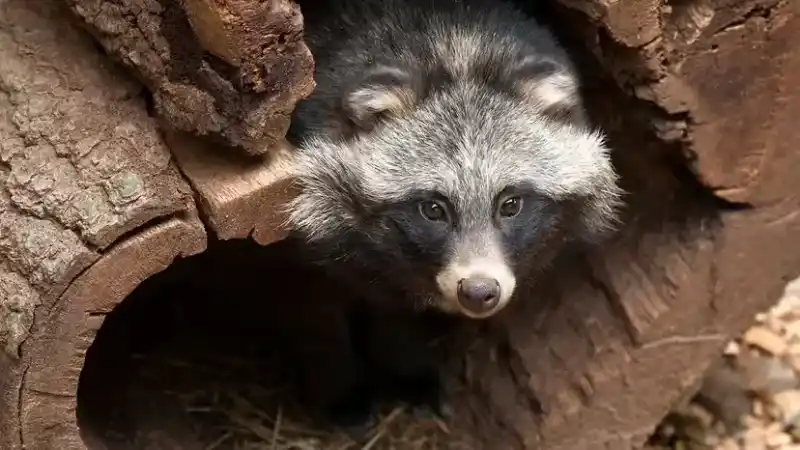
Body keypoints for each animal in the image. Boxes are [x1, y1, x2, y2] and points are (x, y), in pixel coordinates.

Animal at [283, 0, 624, 432]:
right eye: (433, 209)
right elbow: (316, 307)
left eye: (510, 204)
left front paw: (406, 364)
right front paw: (338, 383)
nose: (478, 291)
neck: (457, 48)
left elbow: (397, 316)